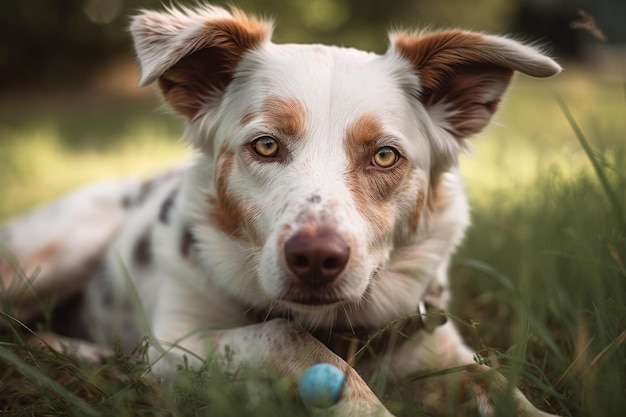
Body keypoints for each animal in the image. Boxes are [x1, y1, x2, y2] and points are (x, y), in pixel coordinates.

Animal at [0, 4, 560, 416]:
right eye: (266, 146)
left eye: (384, 156)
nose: (315, 258)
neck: (337, 326)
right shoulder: (175, 344)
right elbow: (287, 335)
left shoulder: (434, 347)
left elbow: (494, 380)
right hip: (58, 252)